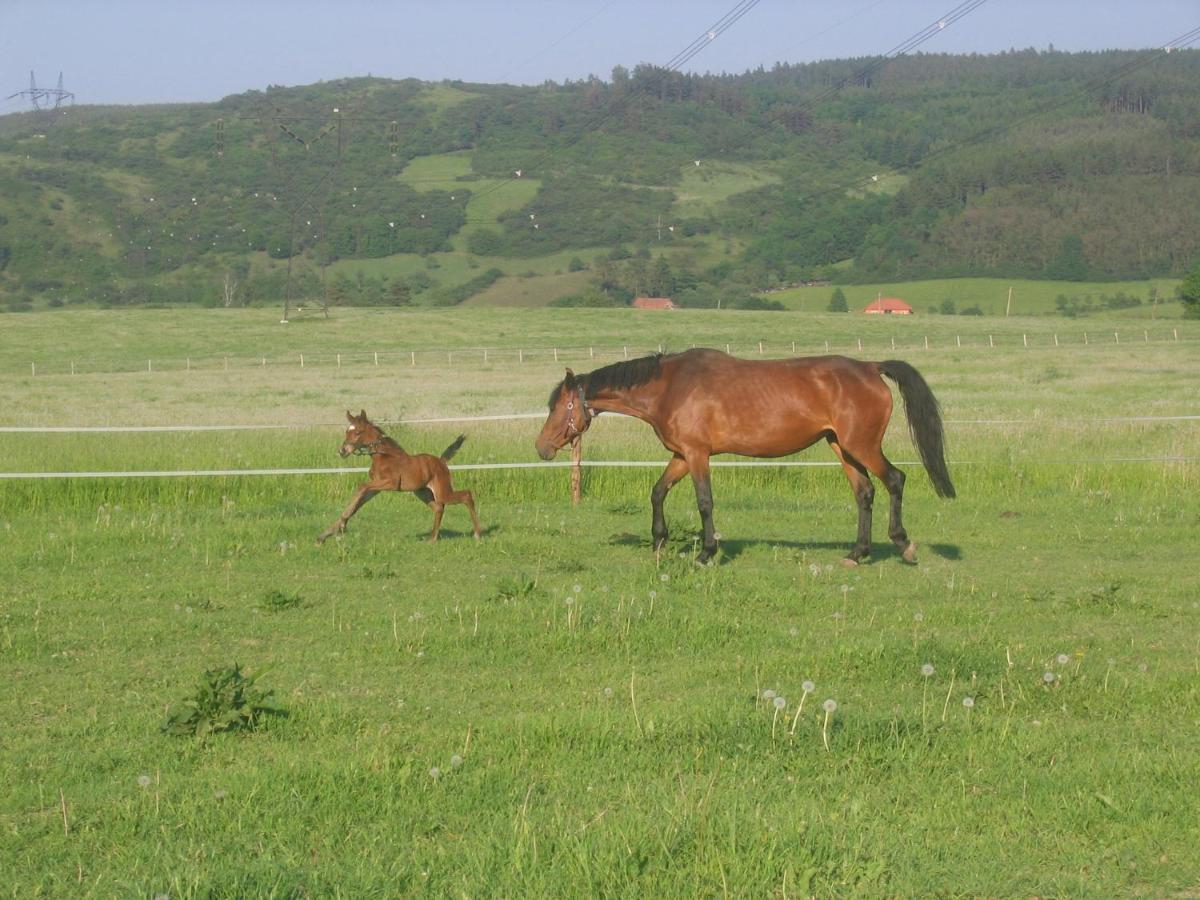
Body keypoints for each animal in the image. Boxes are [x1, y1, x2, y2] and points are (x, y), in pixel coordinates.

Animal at [316, 412, 480, 547]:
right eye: (346, 431)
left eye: (357, 432)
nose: (342, 451)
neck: (383, 456)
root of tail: (441, 461)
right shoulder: (376, 488)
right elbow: (358, 503)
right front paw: (324, 535)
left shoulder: (391, 483)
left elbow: (361, 487)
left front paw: (342, 525)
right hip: (422, 493)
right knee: (439, 508)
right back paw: (432, 539)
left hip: (442, 491)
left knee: (466, 495)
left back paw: (477, 534)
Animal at [535, 350, 955, 566]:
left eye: (558, 406)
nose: (542, 448)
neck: (671, 386)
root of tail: (870, 368)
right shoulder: (682, 455)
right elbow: (657, 492)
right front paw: (658, 543)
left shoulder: (697, 455)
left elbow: (705, 502)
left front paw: (706, 553)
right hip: (841, 447)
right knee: (865, 492)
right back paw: (857, 553)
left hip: (861, 445)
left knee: (895, 480)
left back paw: (903, 545)